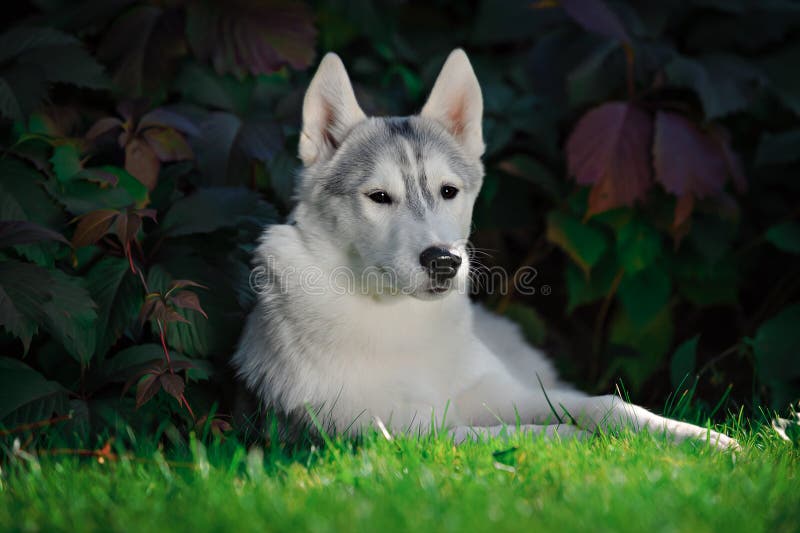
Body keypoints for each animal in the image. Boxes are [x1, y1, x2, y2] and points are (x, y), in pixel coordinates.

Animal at [230, 48, 736, 448]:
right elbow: (522, 434)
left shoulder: (512, 394)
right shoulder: (395, 433)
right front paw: (586, 442)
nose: (444, 262)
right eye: (379, 197)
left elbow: (607, 405)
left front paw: (704, 439)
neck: (401, 322)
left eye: (449, 192)